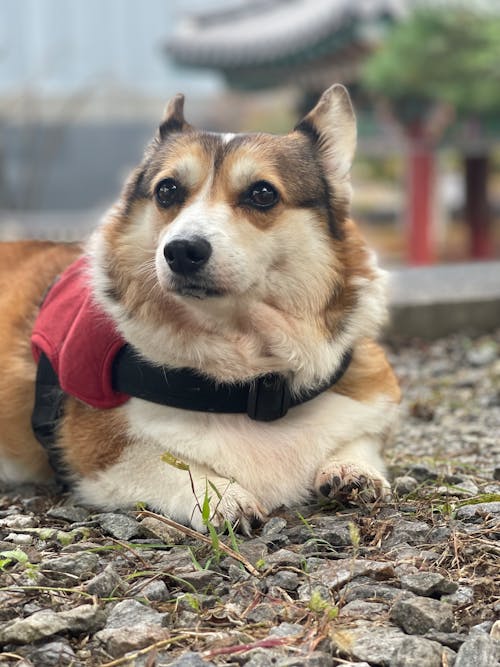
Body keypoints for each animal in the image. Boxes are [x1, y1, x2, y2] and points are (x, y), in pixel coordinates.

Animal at [0, 85, 398, 532]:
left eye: (263, 193)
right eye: (167, 190)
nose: (182, 251)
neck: (251, 378)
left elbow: (360, 438)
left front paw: (352, 471)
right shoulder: (99, 454)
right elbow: (167, 464)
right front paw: (223, 495)